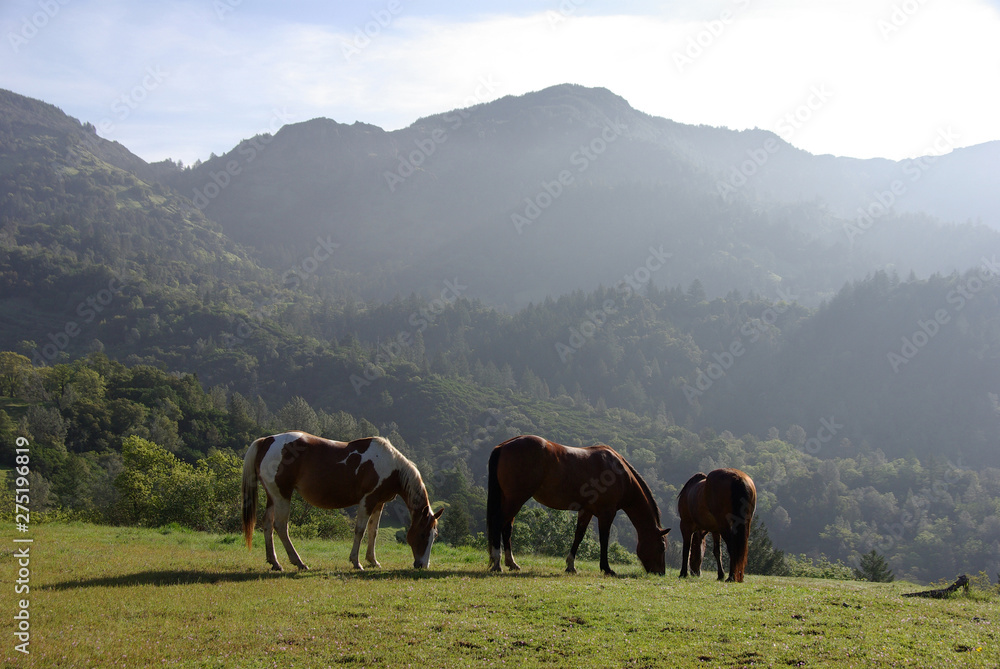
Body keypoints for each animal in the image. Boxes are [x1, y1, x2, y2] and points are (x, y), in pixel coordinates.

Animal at [242, 432, 443, 571]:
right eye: (423, 535)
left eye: (435, 535)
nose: (423, 565)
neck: (391, 466)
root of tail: (267, 440)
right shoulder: (367, 501)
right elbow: (360, 531)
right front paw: (356, 562)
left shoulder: (378, 503)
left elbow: (373, 532)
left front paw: (373, 560)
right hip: (282, 495)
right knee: (281, 527)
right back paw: (298, 562)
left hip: (273, 497)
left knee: (267, 525)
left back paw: (275, 562)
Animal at [487, 435, 670, 575]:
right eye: (662, 547)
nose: (660, 573)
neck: (621, 476)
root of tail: (503, 446)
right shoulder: (607, 513)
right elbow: (604, 539)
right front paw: (606, 568)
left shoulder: (586, 511)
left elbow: (579, 536)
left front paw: (570, 565)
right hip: (516, 499)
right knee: (498, 523)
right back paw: (497, 563)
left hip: (510, 499)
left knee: (507, 527)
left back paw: (511, 563)